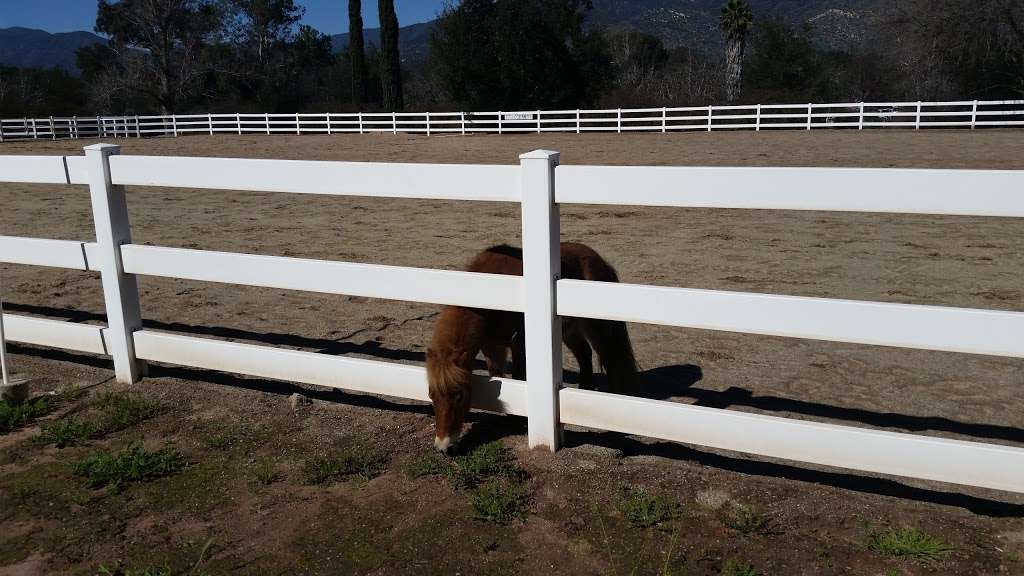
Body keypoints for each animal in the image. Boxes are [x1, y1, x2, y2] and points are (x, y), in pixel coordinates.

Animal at [425, 239, 634, 450]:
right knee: (584, 355)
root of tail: (599, 259)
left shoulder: (519, 344)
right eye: (431, 396)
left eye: (459, 396)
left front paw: (518, 419)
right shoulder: (492, 347)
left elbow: (518, 377)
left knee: (611, 361)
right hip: (570, 331)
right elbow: (500, 376)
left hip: (597, 329)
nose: (444, 447)